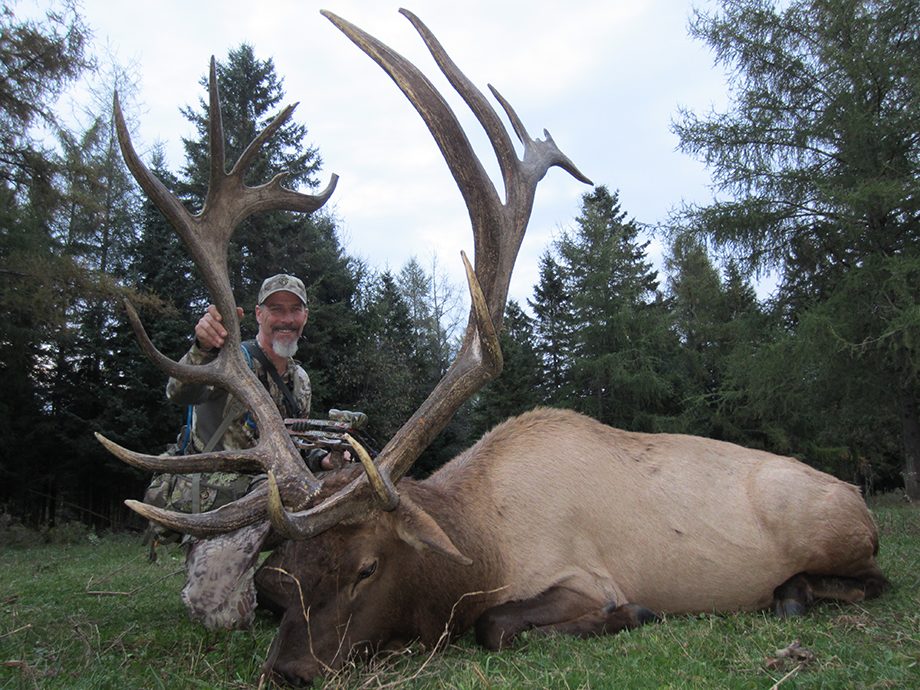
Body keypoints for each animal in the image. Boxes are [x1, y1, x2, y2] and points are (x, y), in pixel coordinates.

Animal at [97, 6, 888, 688]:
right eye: (284, 570)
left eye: (367, 568)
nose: (289, 670)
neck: (481, 551)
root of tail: (859, 494)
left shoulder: (582, 575)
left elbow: (497, 626)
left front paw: (633, 612)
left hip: (833, 529)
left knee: (875, 578)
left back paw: (792, 593)